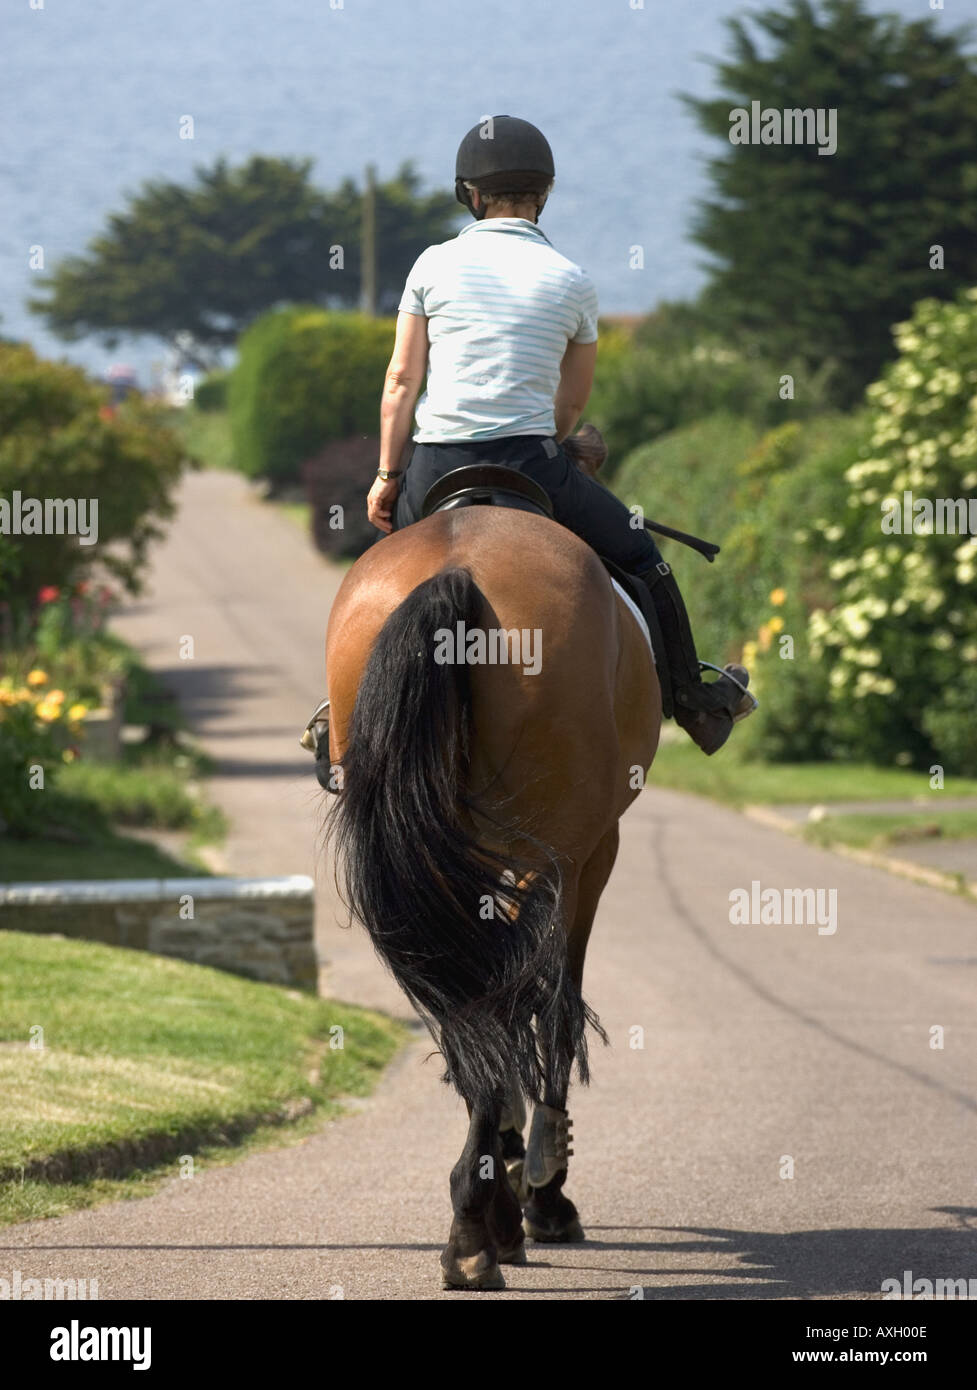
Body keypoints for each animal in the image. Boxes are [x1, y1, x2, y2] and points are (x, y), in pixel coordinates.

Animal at [325, 503, 661, 1289]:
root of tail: (460, 569)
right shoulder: (590, 855)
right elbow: (556, 1011)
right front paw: (543, 1191)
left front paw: (512, 1171)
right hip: (557, 850)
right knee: (518, 1004)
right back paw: (488, 1226)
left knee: (472, 1008)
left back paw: (477, 1218)